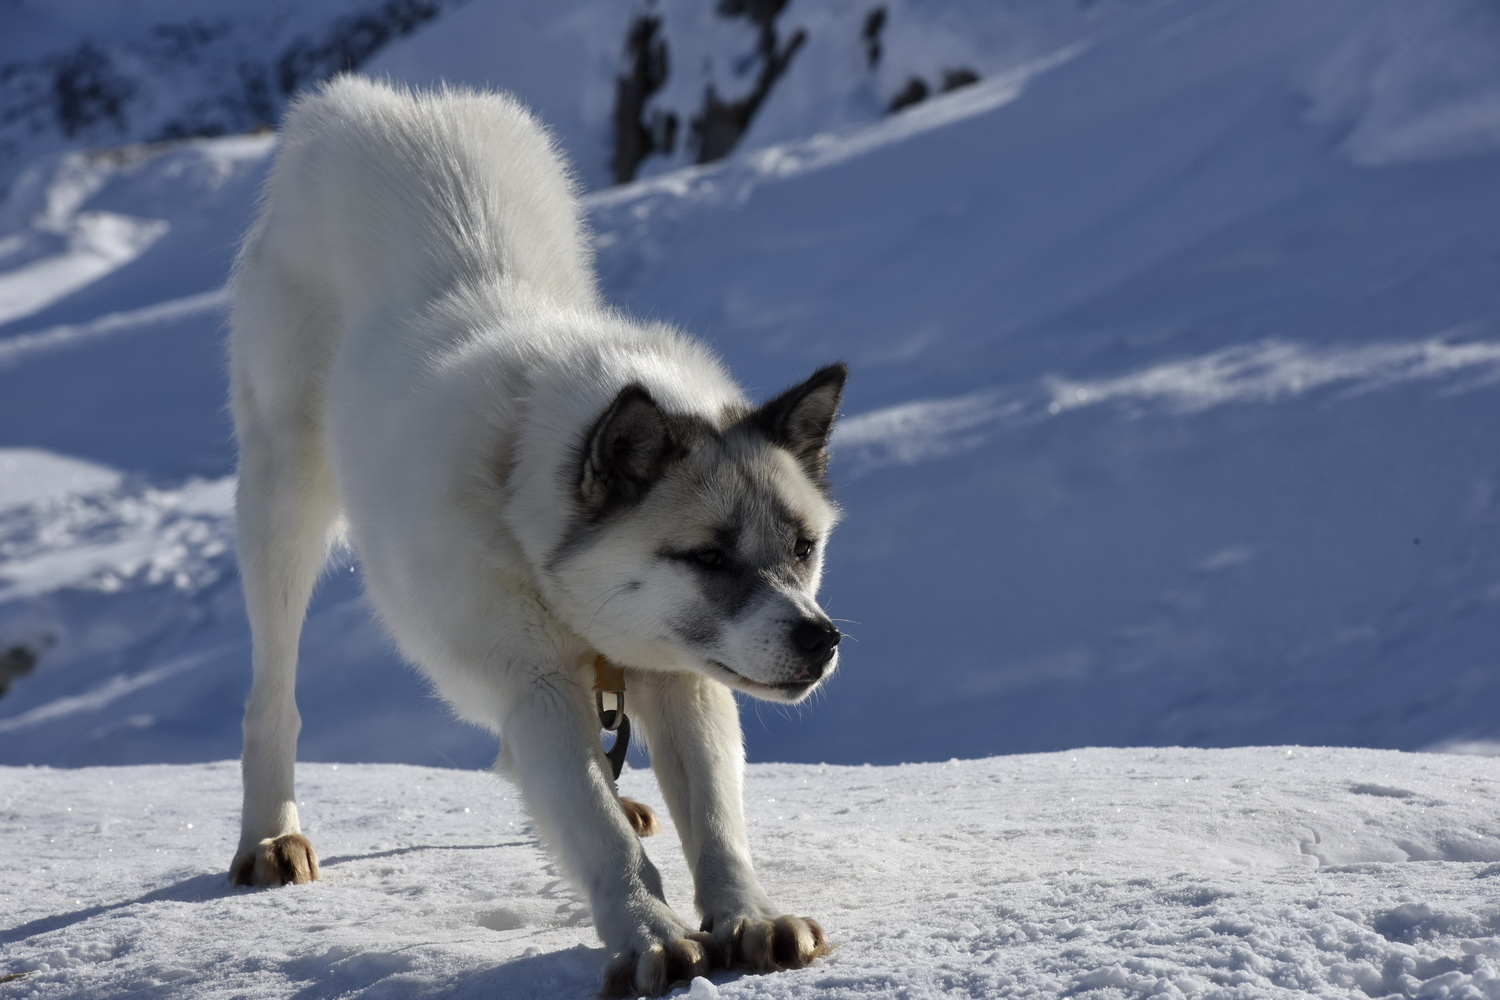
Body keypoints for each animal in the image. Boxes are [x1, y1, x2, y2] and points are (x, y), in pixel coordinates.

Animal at [229, 76, 852, 995]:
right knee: (273, 696)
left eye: (803, 548)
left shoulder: (678, 677)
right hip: (284, 503)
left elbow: (714, 819)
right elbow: (595, 828)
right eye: (707, 556)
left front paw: (750, 918)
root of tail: (373, 103)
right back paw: (270, 835)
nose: (819, 639)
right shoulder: (537, 682)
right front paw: (649, 933)